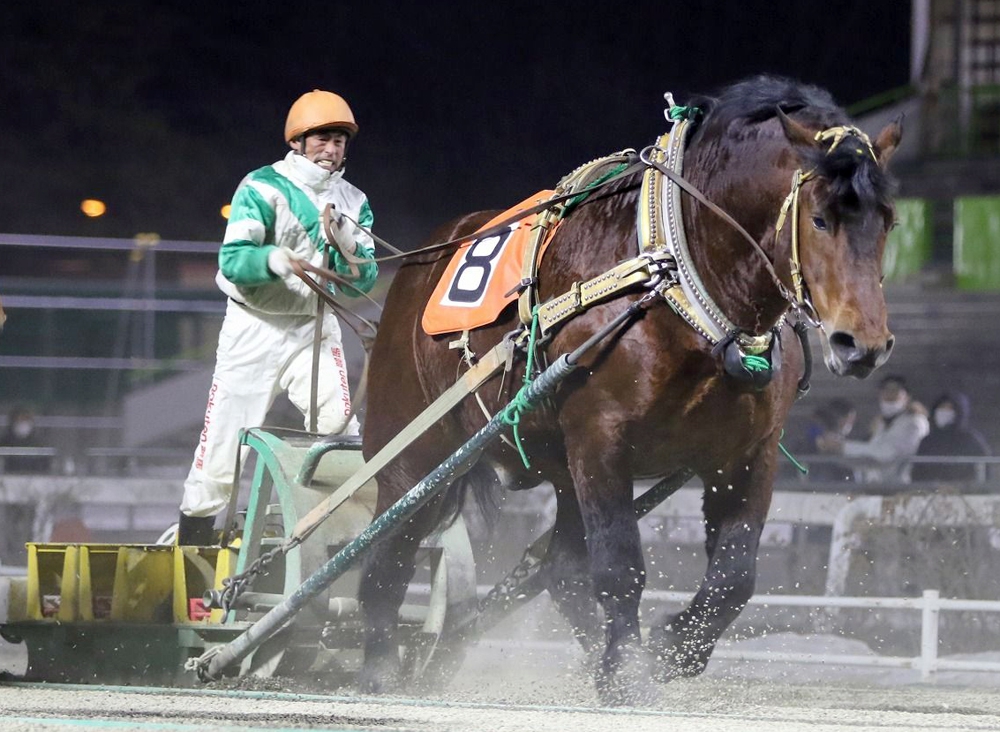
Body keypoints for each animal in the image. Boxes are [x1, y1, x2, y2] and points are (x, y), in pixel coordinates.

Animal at [358, 77, 900, 708]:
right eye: (818, 220)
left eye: (888, 221)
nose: (862, 344)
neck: (675, 280)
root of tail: (418, 264)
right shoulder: (601, 439)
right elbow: (619, 565)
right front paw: (628, 672)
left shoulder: (746, 454)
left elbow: (734, 577)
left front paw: (668, 647)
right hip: (413, 450)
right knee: (390, 545)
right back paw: (376, 664)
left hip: (559, 468)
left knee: (560, 570)